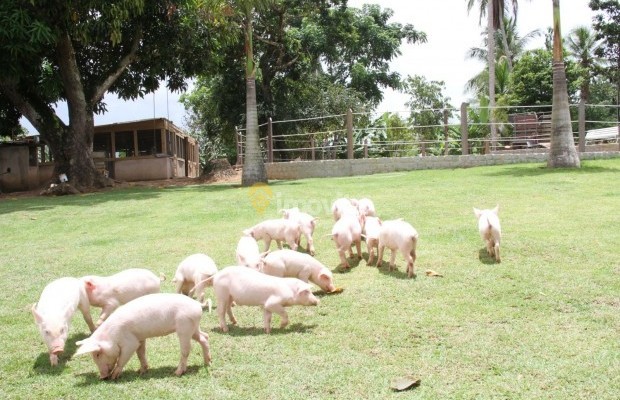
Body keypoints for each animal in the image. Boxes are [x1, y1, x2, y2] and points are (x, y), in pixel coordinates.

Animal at [73, 292, 211, 380]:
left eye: (97, 354)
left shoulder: (130, 342)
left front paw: (114, 377)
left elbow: (123, 358)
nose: (101, 377)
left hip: (184, 327)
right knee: (205, 337)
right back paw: (208, 362)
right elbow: (140, 353)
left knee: (186, 350)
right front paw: (141, 371)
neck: (111, 336)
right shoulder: (139, 338)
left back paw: (177, 373)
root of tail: (197, 304)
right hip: (193, 327)